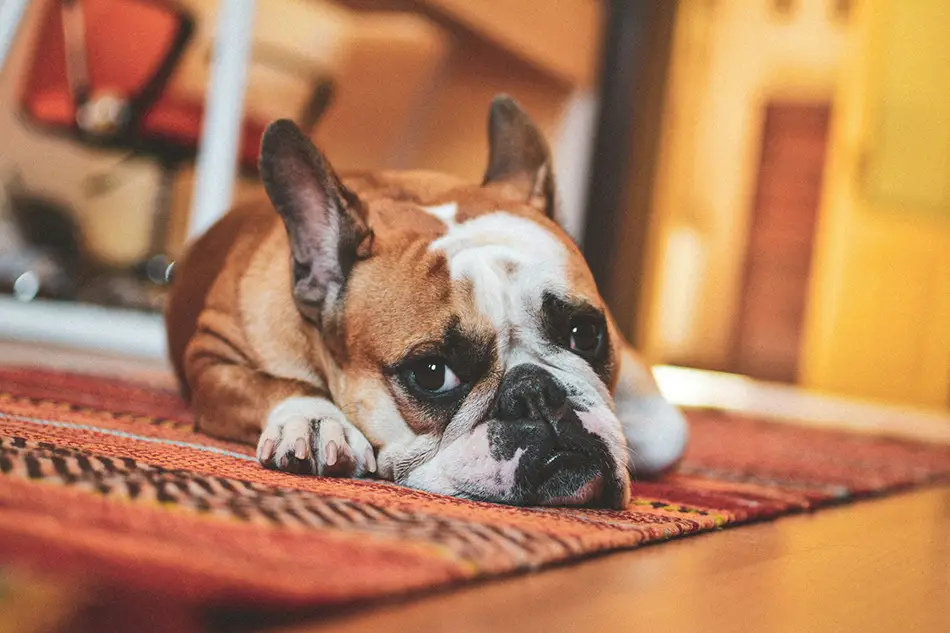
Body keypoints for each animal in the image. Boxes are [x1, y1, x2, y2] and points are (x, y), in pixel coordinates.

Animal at [167, 95, 688, 508]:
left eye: (585, 334)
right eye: (433, 374)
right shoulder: (212, 357)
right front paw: (314, 420)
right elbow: (274, 384)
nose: (536, 392)